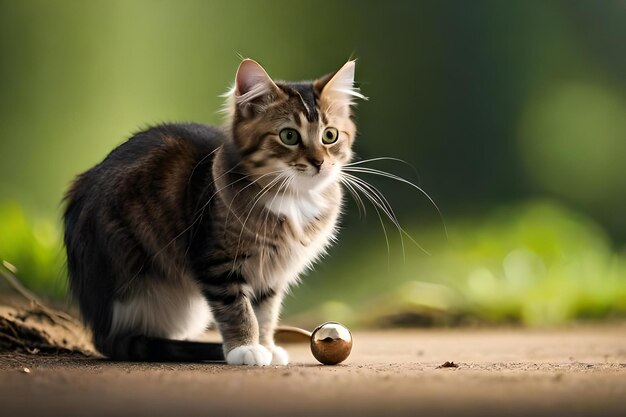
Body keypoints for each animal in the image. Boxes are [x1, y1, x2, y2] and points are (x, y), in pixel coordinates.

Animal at [61, 58, 364, 364]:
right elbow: (238, 309)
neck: (293, 199)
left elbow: (265, 313)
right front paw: (245, 348)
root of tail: (99, 328)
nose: (319, 162)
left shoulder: (271, 276)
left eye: (330, 136)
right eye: (289, 136)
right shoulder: (217, 262)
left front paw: (266, 346)